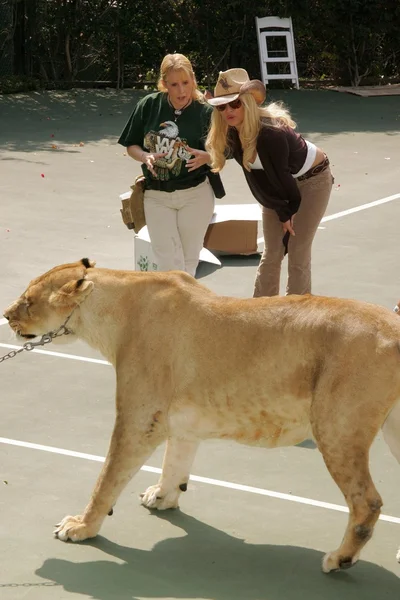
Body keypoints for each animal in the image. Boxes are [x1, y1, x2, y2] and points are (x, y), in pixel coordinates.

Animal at [3, 260, 400, 576]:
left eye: (28, 301)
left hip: (336, 428)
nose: (6, 315)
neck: (113, 310)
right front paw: (163, 495)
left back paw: (340, 559)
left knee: (367, 502)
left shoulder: (138, 419)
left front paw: (81, 526)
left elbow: (107, 478)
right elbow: (174, 461)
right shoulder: (182, 423)